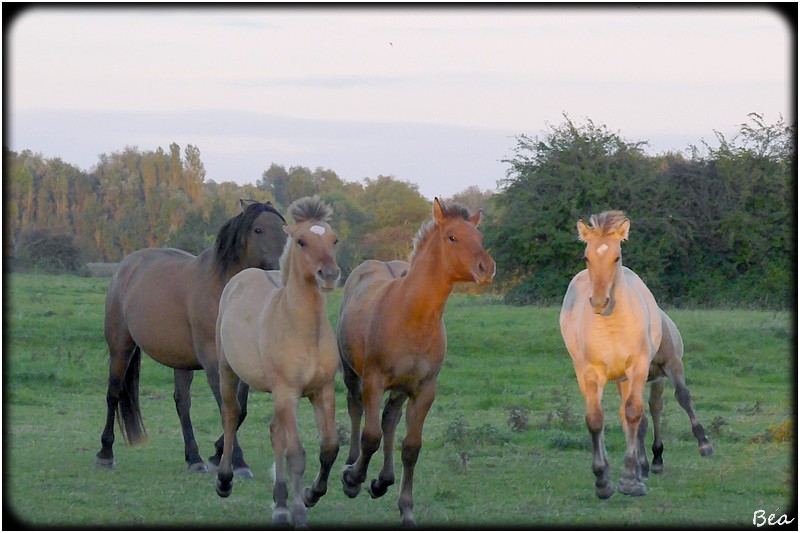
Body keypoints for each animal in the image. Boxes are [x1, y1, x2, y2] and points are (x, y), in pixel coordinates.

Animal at [96, 200, 288, 478]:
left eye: (284, 227)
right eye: (258, 230)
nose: (283, 268)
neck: (224, 291)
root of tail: (127, 266)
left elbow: (240, 409)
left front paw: (218, 453)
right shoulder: (213, 363)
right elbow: (228, 408)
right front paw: (237, 461)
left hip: (180, 361)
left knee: (182, 403)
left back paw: (194, 457)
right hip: (121, 347)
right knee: (113, 393)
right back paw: (105, 453)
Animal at [212, 193, 340, 524]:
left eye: (333, 240)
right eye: (301, 241)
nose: (329, 275)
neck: (302, 329)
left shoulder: (322, 391)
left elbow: (329, 447)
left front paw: (310, 495)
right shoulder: (288, 392)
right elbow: (296, 454)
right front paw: (300, 512)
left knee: (274, 432)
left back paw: (280, 503)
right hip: (229, 371)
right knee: (231, 415)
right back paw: (225, 480)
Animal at [336, 197, 494, 524]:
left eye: (480, 237)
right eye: (452, 237)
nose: (487, 267)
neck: (411, 316)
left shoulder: (424, 390)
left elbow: (410, 447)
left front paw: (405, 507)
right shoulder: (374, 381)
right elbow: (370, 437)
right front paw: (353, 479)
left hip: (399, 389)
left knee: (390, 419)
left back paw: (383, 479)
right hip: (351, 373)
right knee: (356, 409)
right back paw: (351, 464)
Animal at [560, 209, 716, 498]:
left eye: (616, 257)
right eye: (587, 257)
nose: (600, 302)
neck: (611, 327)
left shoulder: (647, 367)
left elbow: (643, 410)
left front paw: (630, 479)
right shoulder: (592, 373)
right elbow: (597, 419)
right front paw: (603, 479)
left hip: (651, 374)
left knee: (659, 406)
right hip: (611, 378)